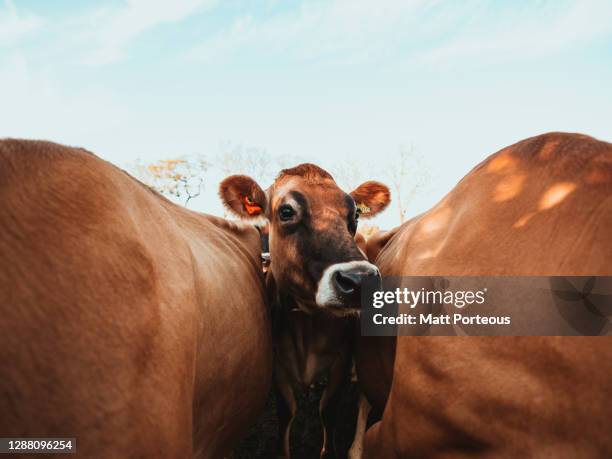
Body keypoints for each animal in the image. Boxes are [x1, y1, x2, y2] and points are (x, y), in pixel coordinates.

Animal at [221, 164, 392, 458]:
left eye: (355, 214)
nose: (360, 280)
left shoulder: (342, 359)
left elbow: (328, 412)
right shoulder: (278, 363)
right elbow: (287, 413)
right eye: (286, 211)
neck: (308, 325)